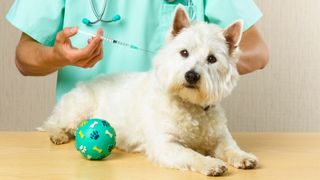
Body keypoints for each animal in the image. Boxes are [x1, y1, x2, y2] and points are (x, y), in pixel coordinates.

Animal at [42, 5, 258, 176]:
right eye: (184, 52)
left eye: (212, 59)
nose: (191, 75)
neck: (190, 104)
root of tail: (83, 83)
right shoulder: (165, 145)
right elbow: (191, 154)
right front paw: (211, 163)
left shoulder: (219, 136)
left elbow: (229, 147)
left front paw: (243, 156)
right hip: (78, 109)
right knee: (53, 123)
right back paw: (58, 135)